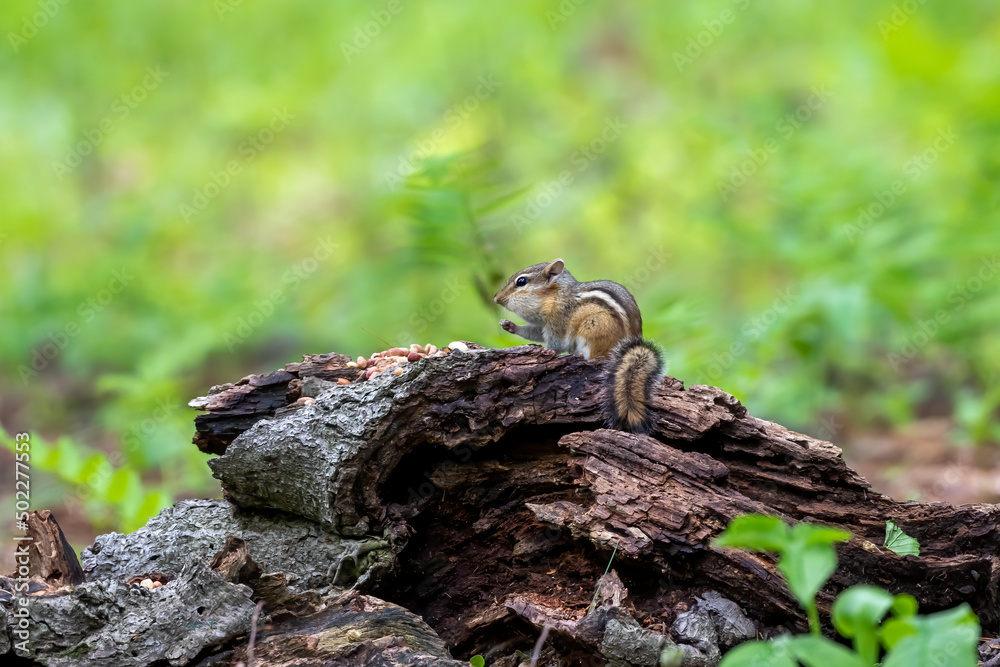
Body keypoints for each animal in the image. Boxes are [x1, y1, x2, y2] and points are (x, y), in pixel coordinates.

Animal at [493, 258, 664, 433]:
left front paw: (543, 353)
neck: (555, 296)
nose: (496, 298)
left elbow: (556, 344)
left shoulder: (558, 321)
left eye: (521, 281)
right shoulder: (543, 325)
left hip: (593, 330)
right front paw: (509, 325)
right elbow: (534, 332)